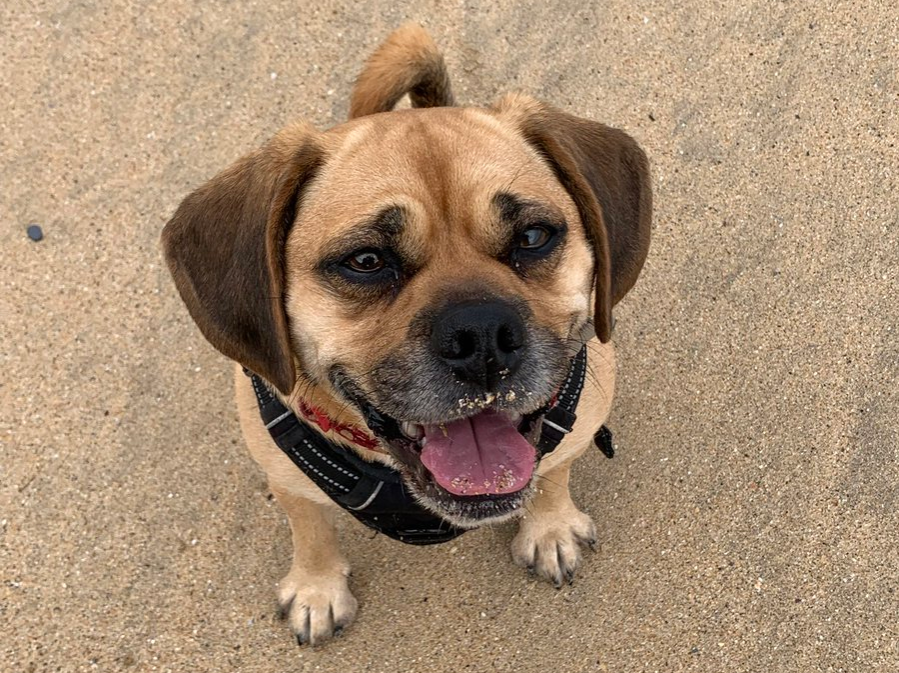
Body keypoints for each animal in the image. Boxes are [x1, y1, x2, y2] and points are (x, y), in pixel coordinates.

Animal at [162, 23, 652, 644]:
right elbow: (310, 529)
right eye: (367, 261)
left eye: (533, 236)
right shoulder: (288, 481)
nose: (482, 337)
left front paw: (550, 525)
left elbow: (553, 471)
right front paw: (318, 587)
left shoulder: (576, 427)